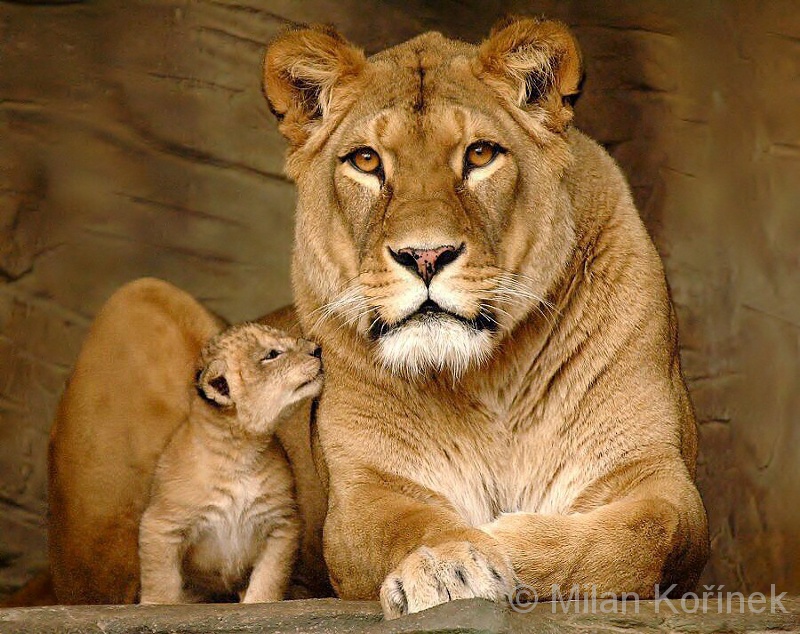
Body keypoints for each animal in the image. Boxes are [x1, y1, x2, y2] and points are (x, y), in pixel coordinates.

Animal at [43, 17, 708, 618]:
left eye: (480, 154)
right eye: (366, 161)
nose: (426, 255)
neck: (488, 379)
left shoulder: (660, 478)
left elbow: (639, 540)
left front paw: (504, 539)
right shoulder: (362, 496)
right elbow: (410, 525)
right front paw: (450, 564)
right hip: (138, 300)